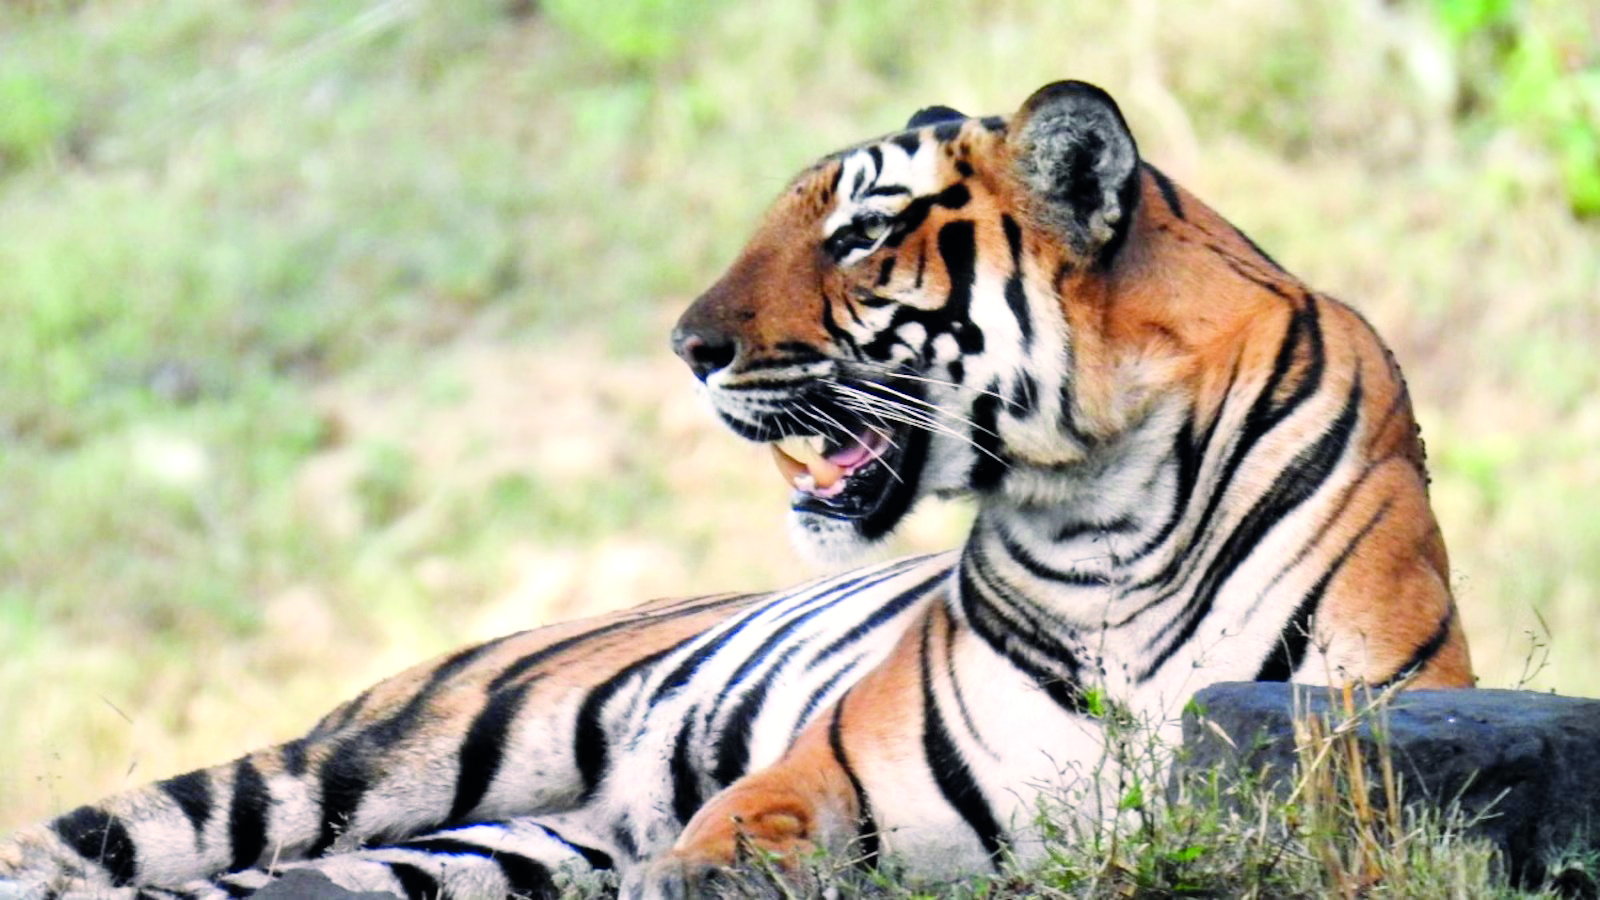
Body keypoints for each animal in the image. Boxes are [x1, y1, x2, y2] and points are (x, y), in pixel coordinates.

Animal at [0, 80, 1471, 900]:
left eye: (864, 236)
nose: (684, 347)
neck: (1097, 516)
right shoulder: (825, 776)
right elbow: (723, 848)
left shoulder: (1365, 748)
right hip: (365, 761)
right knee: (90, 848)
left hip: (481, 845)